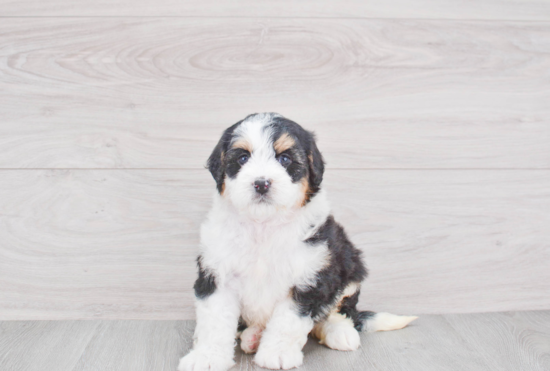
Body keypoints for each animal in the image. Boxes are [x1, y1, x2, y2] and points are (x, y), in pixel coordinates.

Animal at [181, 114, 418, 371]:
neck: (263, 225)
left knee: (339, 312)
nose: (261, 183)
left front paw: (277, 353)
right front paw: (207, 356)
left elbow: (288, 320)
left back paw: (340, 333)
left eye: (284, 159)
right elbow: (214, 321)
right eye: (243, 158)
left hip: (349, 267)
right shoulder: (217, 273)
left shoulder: (311, 275)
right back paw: (253, 336)